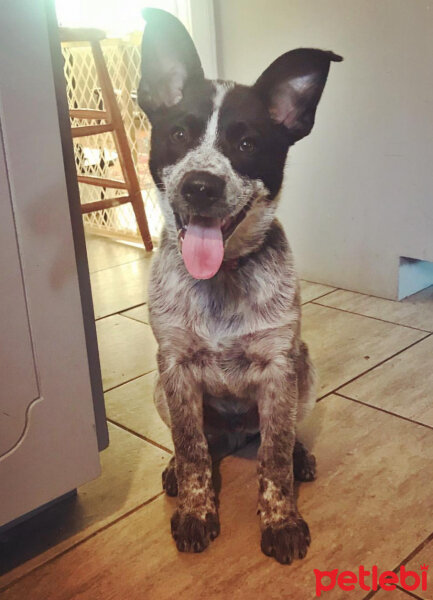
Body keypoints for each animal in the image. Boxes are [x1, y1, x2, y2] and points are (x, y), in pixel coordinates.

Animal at [138, 7, 340, 564]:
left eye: (248, 144)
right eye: (178, 135)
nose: (200, 186)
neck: (221, 280)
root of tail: (232, 436)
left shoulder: (279, 366)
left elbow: (273, 457)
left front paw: (281, 520)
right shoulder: (175, 367)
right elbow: (190, 449)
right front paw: (195, 510)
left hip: (306, 371)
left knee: (278, 434)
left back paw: (299, 456)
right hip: (159, 389)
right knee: (197, 442)